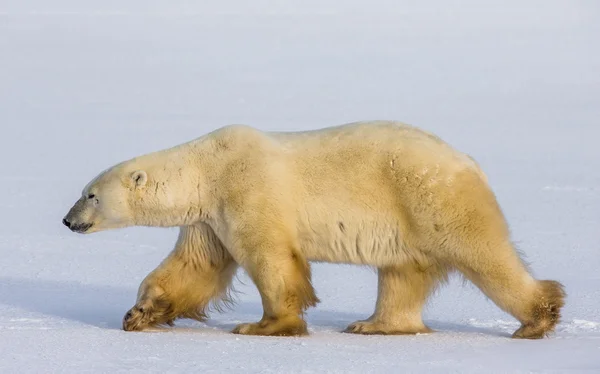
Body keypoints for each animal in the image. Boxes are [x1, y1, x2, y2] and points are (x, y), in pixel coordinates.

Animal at [63, 120, 564, 338]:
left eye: (90, 194)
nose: (68, 220)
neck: (206, 169)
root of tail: (469, 162)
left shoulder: (247, 189)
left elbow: (269, 260)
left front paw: (264, 325)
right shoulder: (209, 218)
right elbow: (193, 268)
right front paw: (138, 314)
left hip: (433, 200)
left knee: (485, 256)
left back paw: (538, 318)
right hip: (409, 223)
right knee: (401, 275)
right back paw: (373, 325)